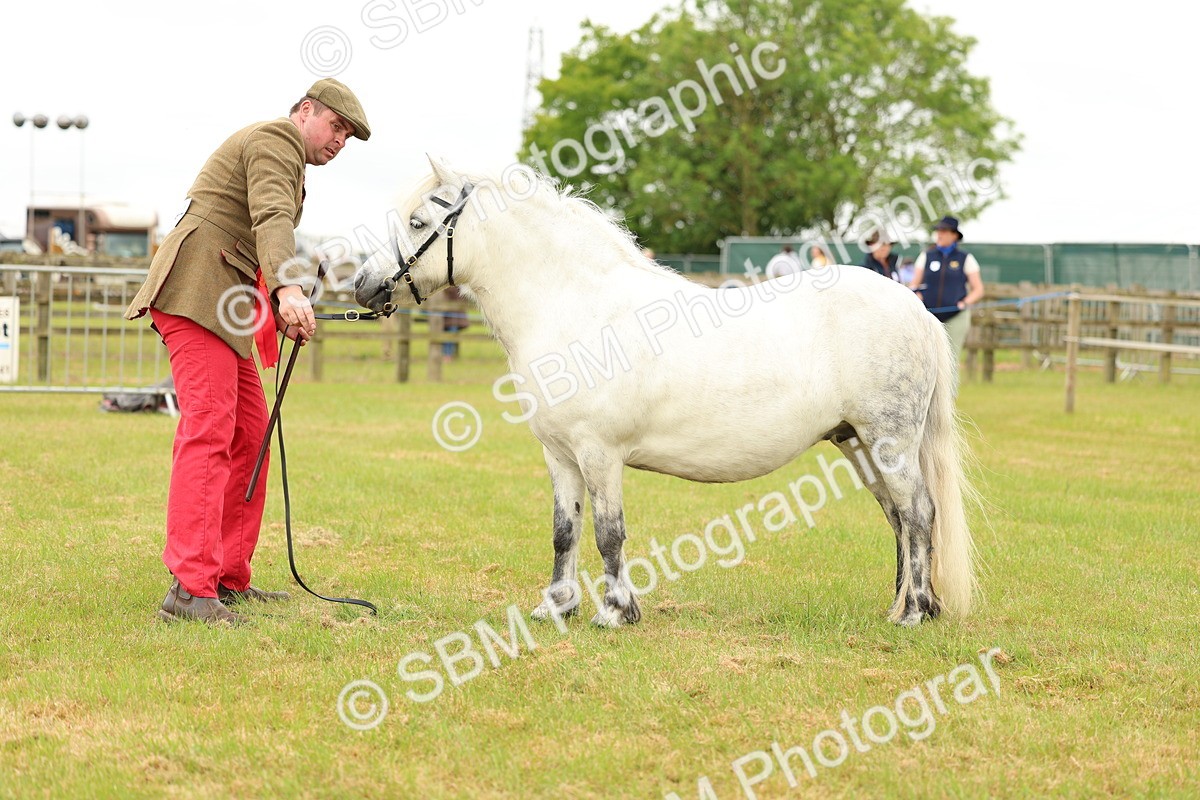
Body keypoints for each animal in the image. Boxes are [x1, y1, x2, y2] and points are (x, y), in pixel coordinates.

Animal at [354, 157, 978, 628]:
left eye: (417, 222)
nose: (362, 286)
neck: (577, 306)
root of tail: (915, 308)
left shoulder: (599, 453)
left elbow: (608, 533)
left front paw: (614, 612)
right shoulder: (560, 455)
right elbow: (564, 532)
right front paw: (556, 607)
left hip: (889, 441)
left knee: (919, 513)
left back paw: (914, 614)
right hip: (857, 443)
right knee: (899, 519)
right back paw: (901, 605)